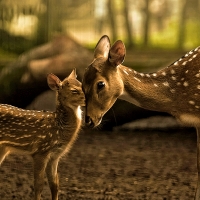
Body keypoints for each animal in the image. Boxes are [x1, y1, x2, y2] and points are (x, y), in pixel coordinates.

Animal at [0, 69, 85, 200]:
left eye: (82, 85)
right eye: (74, 90)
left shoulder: (55, 156)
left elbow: (55, 184)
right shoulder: (40, 151)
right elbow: (39, 184)